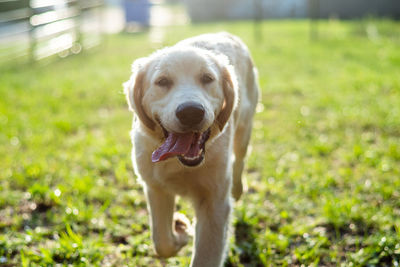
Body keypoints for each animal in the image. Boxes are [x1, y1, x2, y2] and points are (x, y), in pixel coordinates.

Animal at [123, 32, 258, 266]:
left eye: (207, 78)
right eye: (162, 81)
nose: (191, 112)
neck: (180, 163)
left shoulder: (215, 203)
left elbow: (205, 256)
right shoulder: (155, 188)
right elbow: (162, 242)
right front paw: (181, 229)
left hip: (244, 129)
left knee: (239, 161)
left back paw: (238, 189)